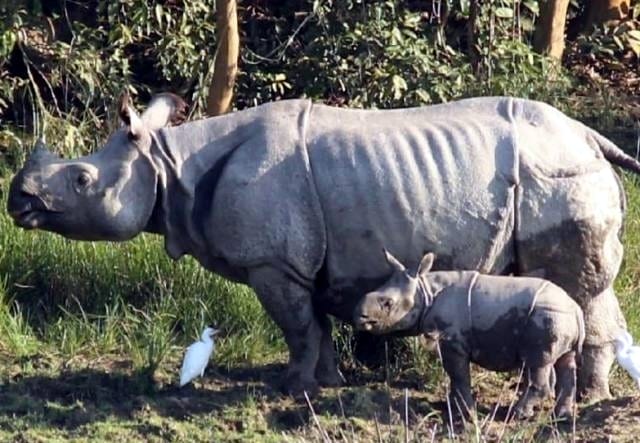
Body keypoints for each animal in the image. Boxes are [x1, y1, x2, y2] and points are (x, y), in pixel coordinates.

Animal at [7, 93, 640, 398]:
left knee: (577, 286)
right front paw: (328, 384)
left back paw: (588, 397)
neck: (166, 163)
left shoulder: (272, 262)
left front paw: (294, 388)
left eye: (81, 180)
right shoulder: (298, 260)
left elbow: (297, 325)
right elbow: (314, 323)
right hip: (559, 167)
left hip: (556, 173)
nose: (18, 200)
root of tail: (588, 134)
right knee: (578, 288)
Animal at [354, 250, 585, 419]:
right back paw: (561, 417)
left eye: (387, 303)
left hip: (547, 317)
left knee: (538, 362)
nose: (359, 317)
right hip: (559, 317)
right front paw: (450, 405)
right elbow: (455, 377)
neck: (425, 290)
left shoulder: (452, 341)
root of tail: (575, 309)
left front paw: (465, 413)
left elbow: (458, 375)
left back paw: (515, 415)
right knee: (566, 360)